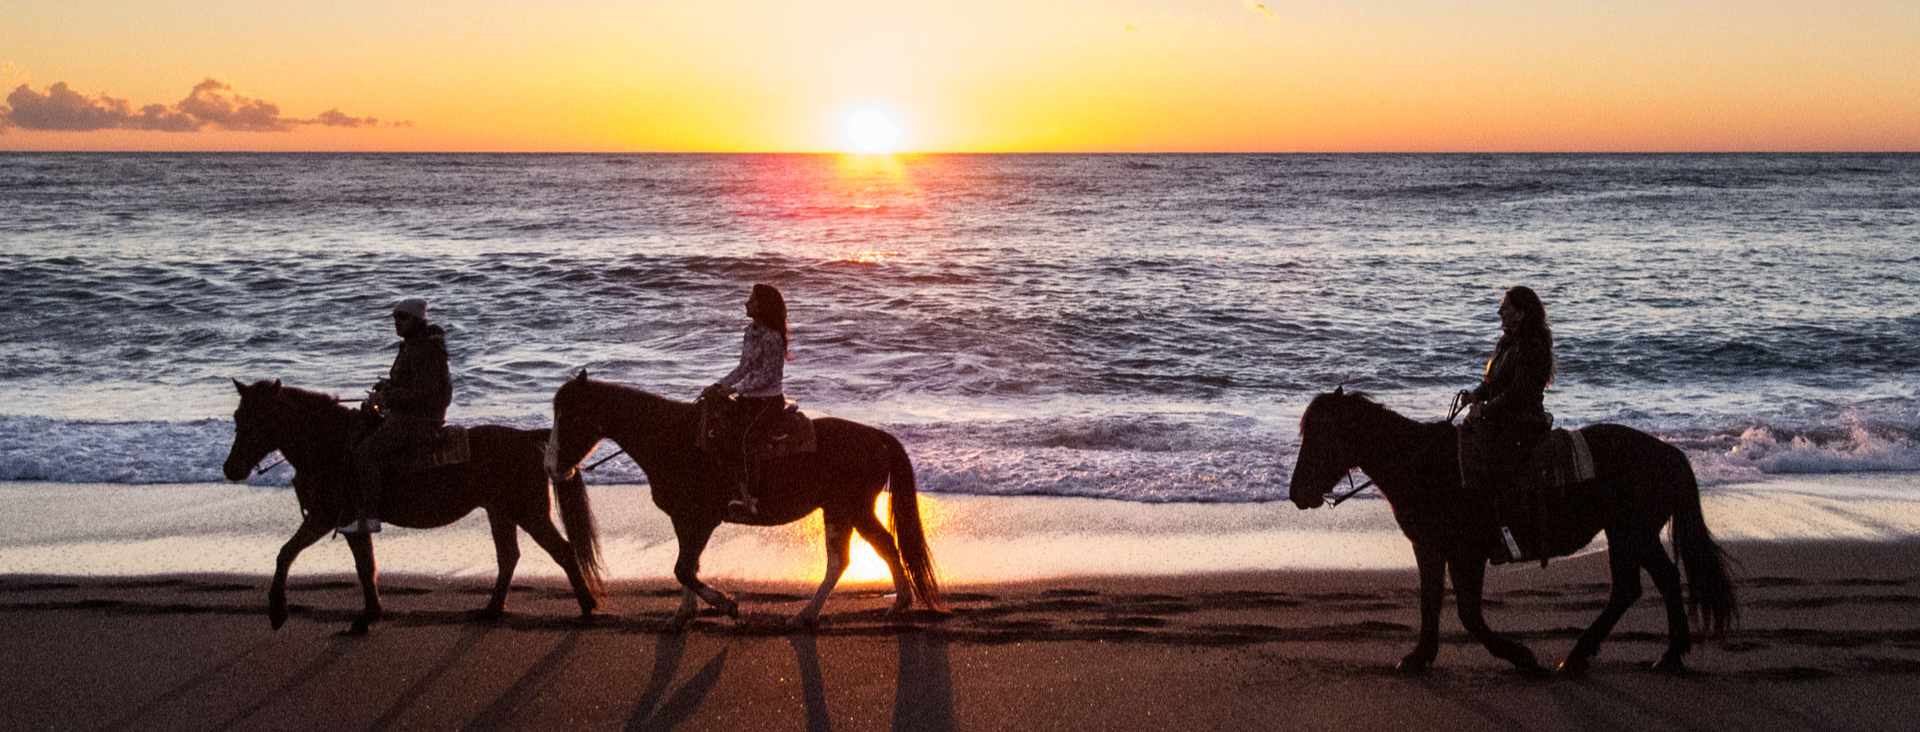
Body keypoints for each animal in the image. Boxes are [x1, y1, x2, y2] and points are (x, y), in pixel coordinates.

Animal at [222, 378, 605, 634]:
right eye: (238, 417)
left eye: (258, 420)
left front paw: (278, 611)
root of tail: (528, 438)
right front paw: (369, 614)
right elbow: (360, 566)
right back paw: (492, 609)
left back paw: (587, 607)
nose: (231, 469)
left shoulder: (327, 518)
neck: (332, 446)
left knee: (562, 551)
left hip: (529, 513)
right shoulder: (343, 522)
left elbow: (291, 554)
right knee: (509, 556)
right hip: (500, 513)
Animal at [543, 371, 944, 630]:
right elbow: (687, 567)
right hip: (845, 510)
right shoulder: (683, 519)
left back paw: (817, 613)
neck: (672, 438)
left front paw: (727, 604)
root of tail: (877, 437)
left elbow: (683, 568)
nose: (551, 467)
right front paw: (682, 614)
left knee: (857, 555)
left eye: (570, 416)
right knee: (871, 550)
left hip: (850, 508)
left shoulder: (703, 519)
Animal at [1287, 388, 1737, 676]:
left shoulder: (1465, 551)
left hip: (1632, 533)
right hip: (1627, 534)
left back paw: (1631, 655)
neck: (1424, 465)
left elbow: (1469, 614)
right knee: (1646, 585)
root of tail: (1668, 453)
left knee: (1645, 585)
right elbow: (1430, 602)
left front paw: (1521, 656)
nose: (1296, 494)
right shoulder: (1429, 548)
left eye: (1321, 436)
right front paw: (1418, 657)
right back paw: (1628, 655)